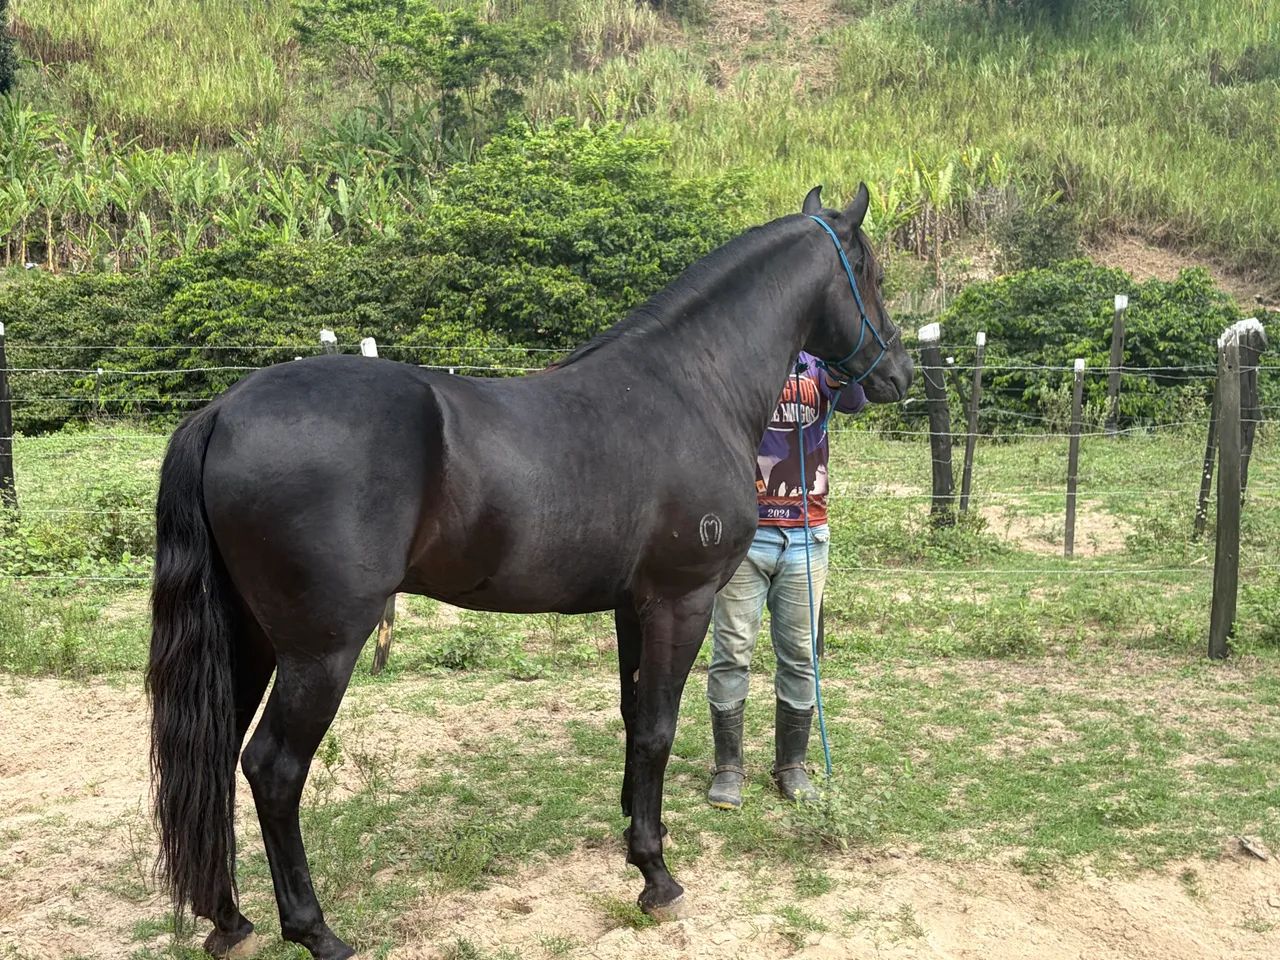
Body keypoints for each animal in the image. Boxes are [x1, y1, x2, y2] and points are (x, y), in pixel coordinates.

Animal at [147, 184, 914, 960]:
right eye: (873, 275)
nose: (898, 375)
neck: (691, 387)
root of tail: (223, 409)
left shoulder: (633, 606)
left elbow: (634, 717)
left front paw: (638, 835)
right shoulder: (682, 599)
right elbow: (660, 726)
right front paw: (657, 876)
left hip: (250, 639)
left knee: (215, 757)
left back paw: (228, 921)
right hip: (320, 651)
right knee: (273, 769)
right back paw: (315, 931)